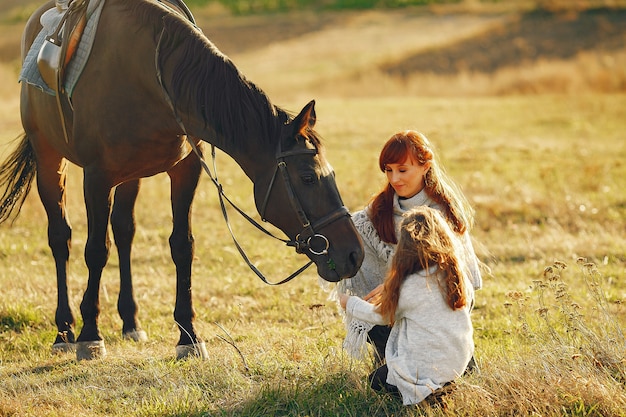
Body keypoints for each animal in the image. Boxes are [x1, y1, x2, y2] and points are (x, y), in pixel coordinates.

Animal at [0, 0, 364, 360]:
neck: (151, 76)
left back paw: (130, 322)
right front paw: (90, 335)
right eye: (308, 177)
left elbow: (182, 246)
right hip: (49, 159)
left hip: (130, 176)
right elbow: (96, 250)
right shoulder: (97, 177)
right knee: (61, 238)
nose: (354, 254)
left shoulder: (185, 170)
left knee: (124, 232)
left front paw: (188, 335)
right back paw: (64, 331)